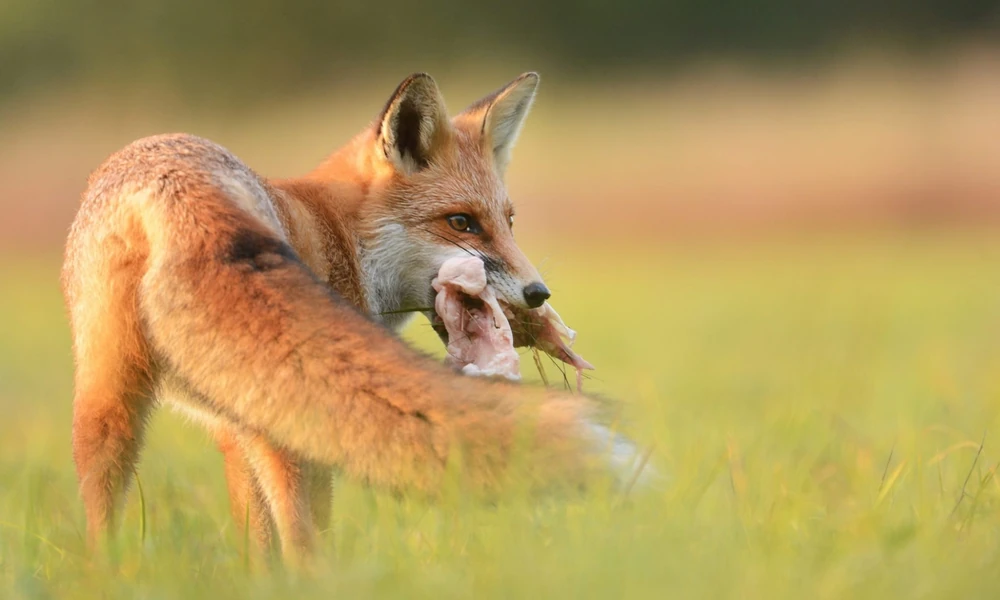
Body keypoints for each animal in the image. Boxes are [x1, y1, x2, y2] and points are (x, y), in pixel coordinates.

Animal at [62, 72, 643, 564]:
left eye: (509, 222)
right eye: (461, 223)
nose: (538, 294)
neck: (341, 234)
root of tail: (173, 183)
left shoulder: (233, 422)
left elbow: (257, 548)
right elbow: (306, 532)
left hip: (107, 406)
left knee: (99, 520)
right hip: (284, 424)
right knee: (303, 543)